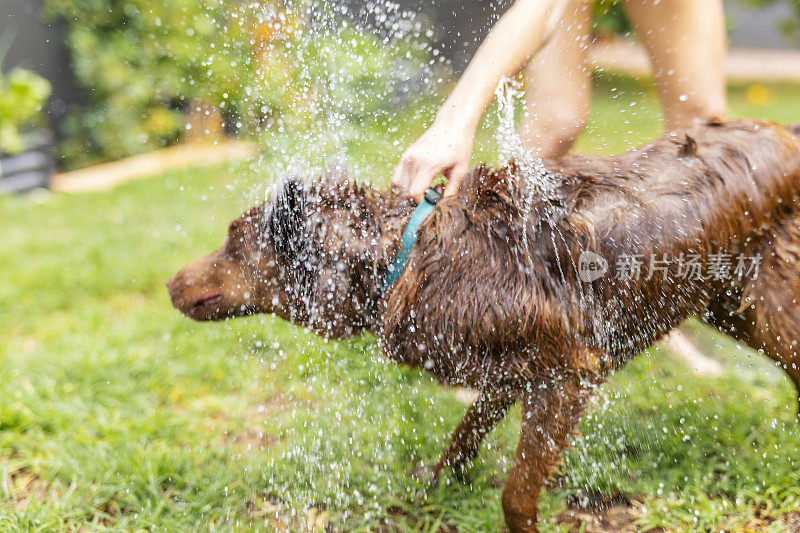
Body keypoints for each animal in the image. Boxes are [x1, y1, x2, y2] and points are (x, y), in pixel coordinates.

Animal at [166, 118, 800, 528]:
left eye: (232, 242)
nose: (171, 284)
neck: (406, 258)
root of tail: (781, 133)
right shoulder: (508, 366)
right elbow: (467, 430)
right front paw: (437, 482)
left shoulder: (569, 372)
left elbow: (517, 493)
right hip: (725, 301)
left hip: (766, 307)